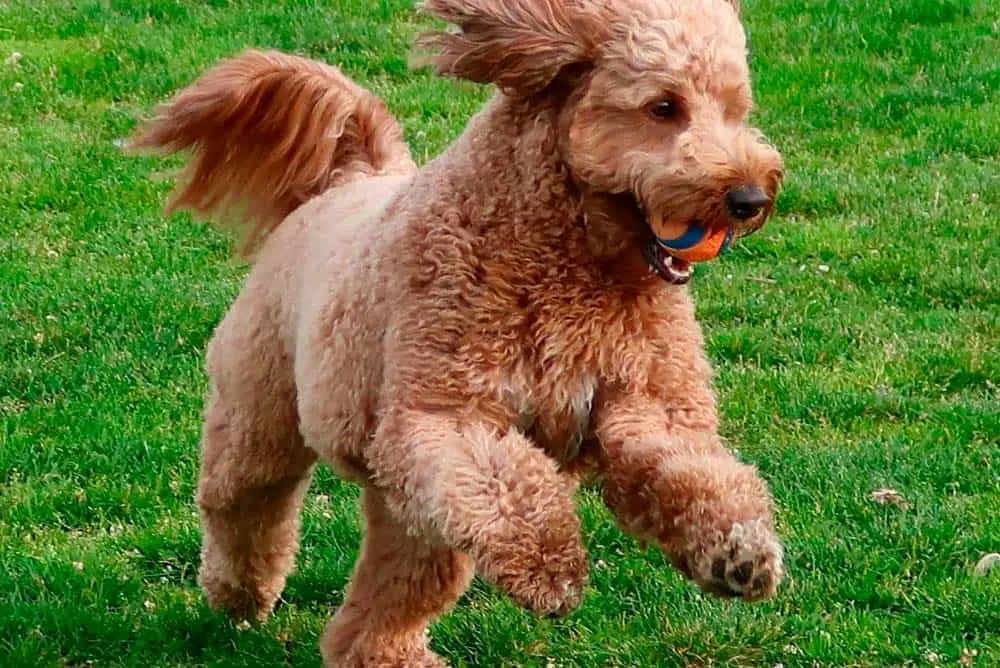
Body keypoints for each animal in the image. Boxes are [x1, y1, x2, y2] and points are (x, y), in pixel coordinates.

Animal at [131, 0, 788, 660]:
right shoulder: (443, 414)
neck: (570, 268)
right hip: (264, 415)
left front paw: (739, 552)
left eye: (736, 109)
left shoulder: (648, 402)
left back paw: (382, 653)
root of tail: (349, 179)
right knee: (243, 501)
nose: (749, 197)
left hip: (407, 505)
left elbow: (688, 470)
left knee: (388, 595)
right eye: (663, 107)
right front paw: (551, 566)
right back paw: (239, 594)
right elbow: (511, 485)